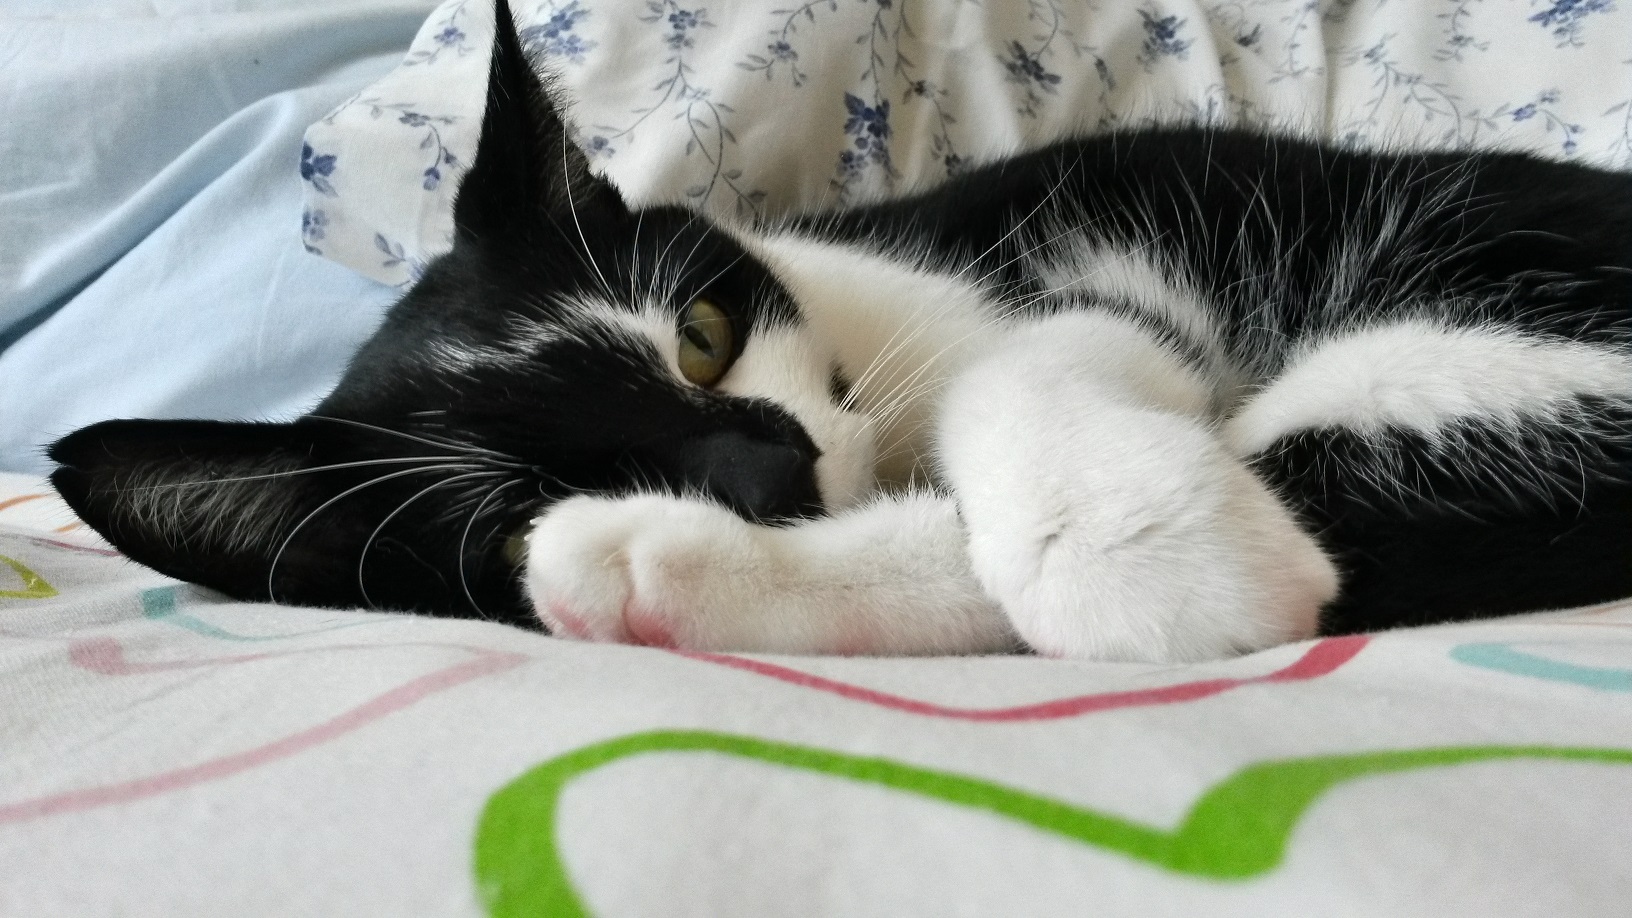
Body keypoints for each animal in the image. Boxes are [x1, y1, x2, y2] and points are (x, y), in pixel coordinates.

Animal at [44, 0, 1632, 656]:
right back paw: (657, 572)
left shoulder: (1086, 286)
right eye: (510, 505)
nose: (769, 471)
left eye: (699, 333)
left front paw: (1124, 532)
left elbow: (1055, 353)